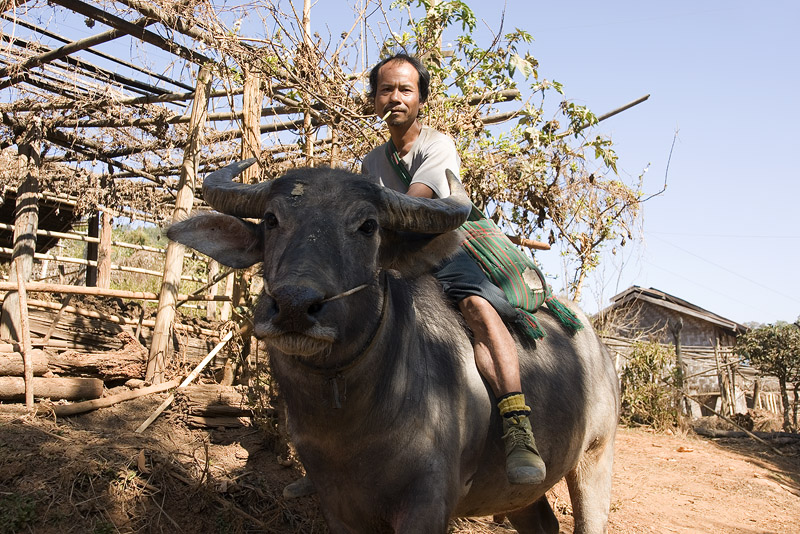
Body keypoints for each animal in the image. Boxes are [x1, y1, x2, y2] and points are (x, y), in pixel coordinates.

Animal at [167, 160, 620, 534]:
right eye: (271, 219)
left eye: (368, 225)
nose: (294, 305)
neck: (350, 424)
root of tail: (601, 351)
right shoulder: (339, 508)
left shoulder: (427, 503)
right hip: (517, 494)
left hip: (596, 459)